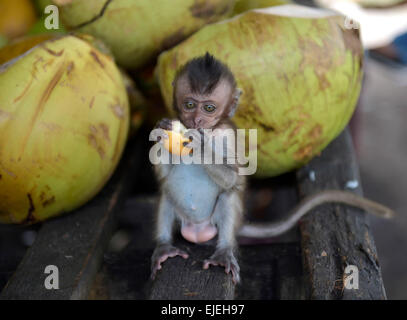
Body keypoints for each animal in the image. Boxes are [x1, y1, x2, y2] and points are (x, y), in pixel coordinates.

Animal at [151, 53, 396, 284]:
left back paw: (224, 252)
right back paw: (164, 247)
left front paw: (201, 146)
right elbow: (165, 175)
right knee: (167, 195)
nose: (197, 120)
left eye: (209, 108)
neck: (210, 130)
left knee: (228, 196)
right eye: (190, 105)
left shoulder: (228, 134)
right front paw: (162, 130)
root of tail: (197, 231)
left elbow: (233, 178)